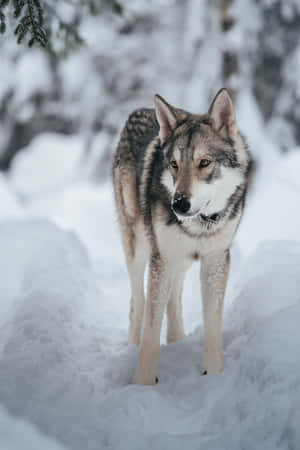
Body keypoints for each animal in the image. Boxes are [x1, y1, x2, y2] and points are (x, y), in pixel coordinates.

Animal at [112, 89, 251, 384]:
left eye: (204, 162)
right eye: (174, 165)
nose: (179, 204)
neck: (200, 224)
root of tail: (139, 110)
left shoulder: (215, 260)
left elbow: (213, 326)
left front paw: (213, 375)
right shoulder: (162, 257)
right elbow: (151, 334)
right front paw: (142, 384)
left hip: (179, 259)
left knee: (174, 297)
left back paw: (177, 340)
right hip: (140, 249)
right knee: (138, 301)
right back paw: (131, 345)